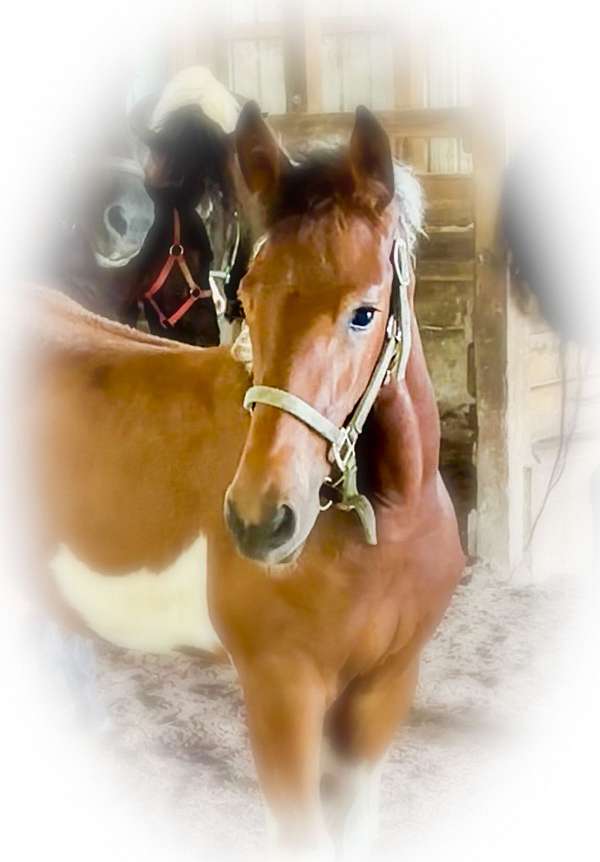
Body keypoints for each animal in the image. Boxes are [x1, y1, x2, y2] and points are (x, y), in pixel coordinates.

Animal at [28, 103, 464, 860]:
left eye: (364, 312)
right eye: (250, 300)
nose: (263, 521)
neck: (386, 528)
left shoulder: (383, 690)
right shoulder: (281, 693)